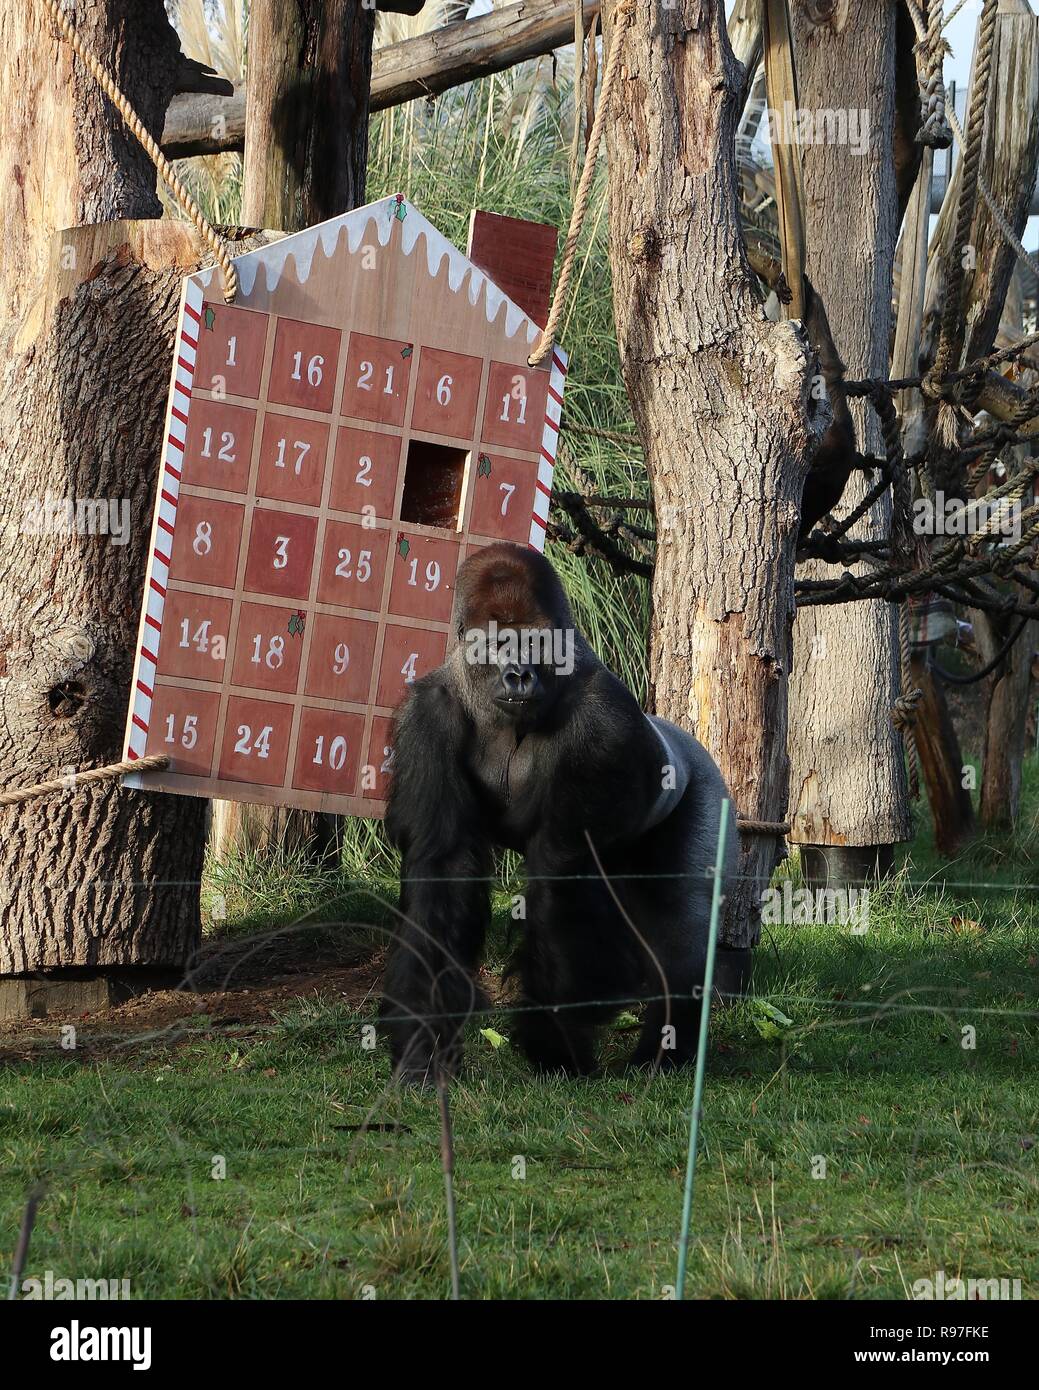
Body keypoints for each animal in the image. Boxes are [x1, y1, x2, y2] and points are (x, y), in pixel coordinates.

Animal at [381, 542, 739, 1084]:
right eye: (498, 643)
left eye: (535, 643)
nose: (518, 674)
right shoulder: (426, 715)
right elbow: (441, 868)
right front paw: (424, 1047)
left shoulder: (603, 721)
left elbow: (560, 876)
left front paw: (554, 1046)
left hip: (706, 788)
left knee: (679, 937)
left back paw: (665, 1053)